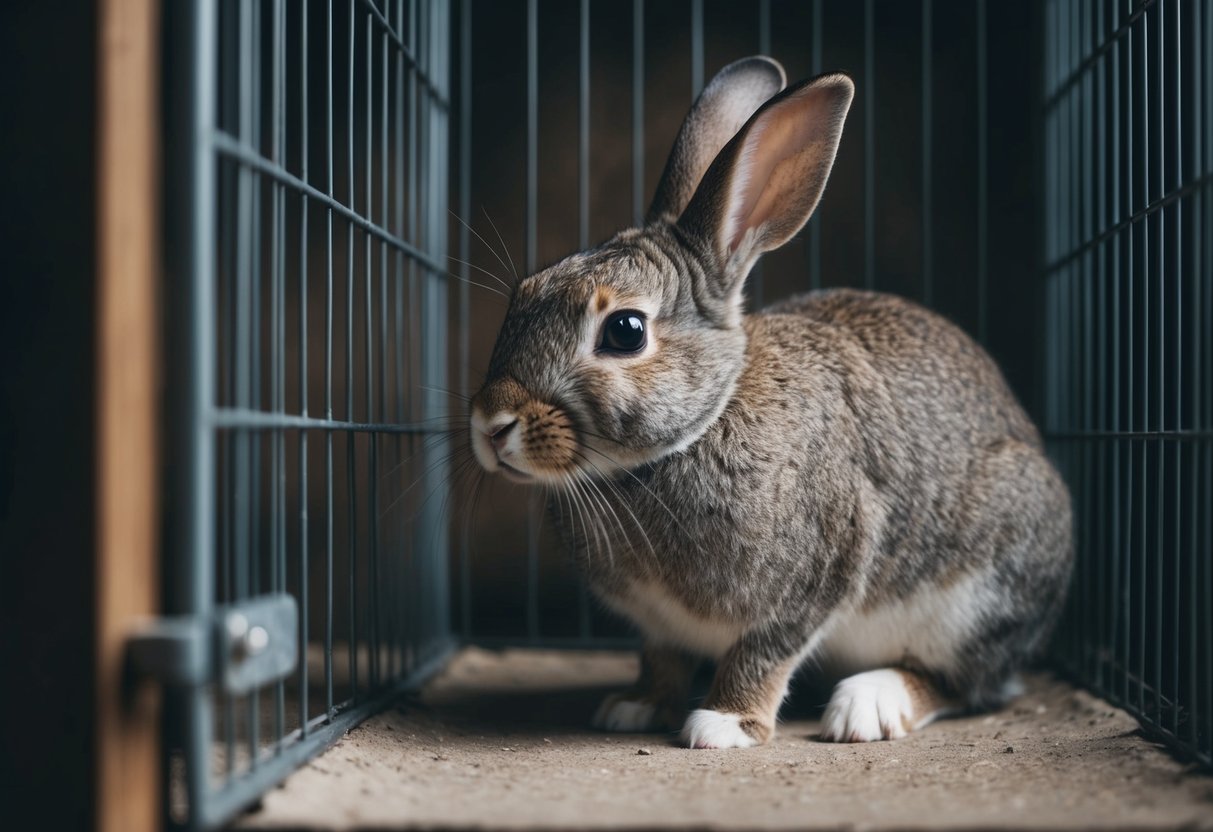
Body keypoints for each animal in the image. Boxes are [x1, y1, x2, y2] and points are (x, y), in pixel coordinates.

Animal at [468, 56, 1073, 749]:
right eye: (525, 291)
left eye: (624, 330)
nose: (489, 424)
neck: (700, 427)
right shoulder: (659, 627)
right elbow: (662, 658)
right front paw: (636, 706)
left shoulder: (819, 573)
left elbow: (764, 653)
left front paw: (723, 725)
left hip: (978, 598)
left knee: (968, 685)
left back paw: (868, 705)